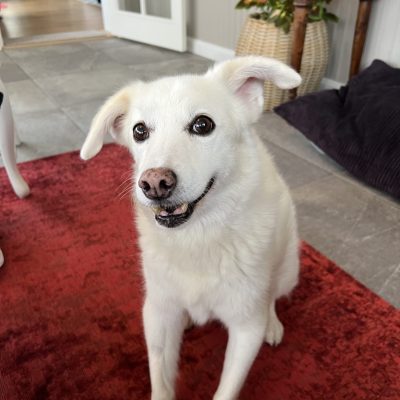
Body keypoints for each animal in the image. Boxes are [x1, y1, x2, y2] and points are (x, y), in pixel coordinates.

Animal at [81, 56, 301, 400]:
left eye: (202, 125)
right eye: (139, 130)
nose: (154, 184)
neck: (197, 236)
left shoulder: (245, 328)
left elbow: (227, 389)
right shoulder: (157, 312)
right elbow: (161, 378)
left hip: (288, 269)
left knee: (273, 296)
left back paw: (273, 323)